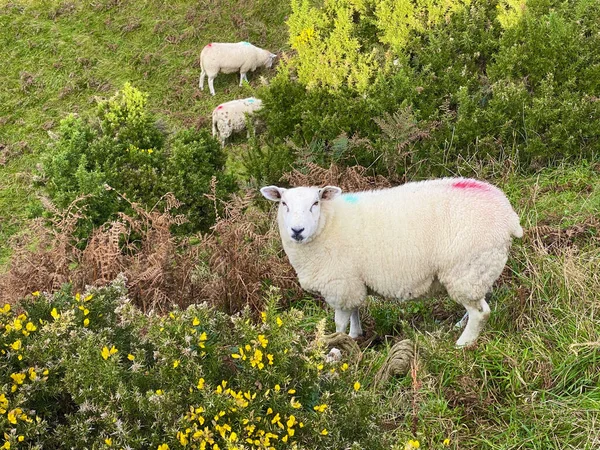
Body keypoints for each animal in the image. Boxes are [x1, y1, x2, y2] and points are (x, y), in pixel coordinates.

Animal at [260, 179, 524, 348]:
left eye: (315, 203)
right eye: (284, 204)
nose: (297, 231)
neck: (327, 223)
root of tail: (508, 214)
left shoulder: (339, 282)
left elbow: (339, 322)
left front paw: (336, 345)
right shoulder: (352, 280)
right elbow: (355, 309)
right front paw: (356, 335)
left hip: (465, 267)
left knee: (481, 312)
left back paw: (463, 343)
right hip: (479, 269)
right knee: (479, 301)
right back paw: (459, 325)